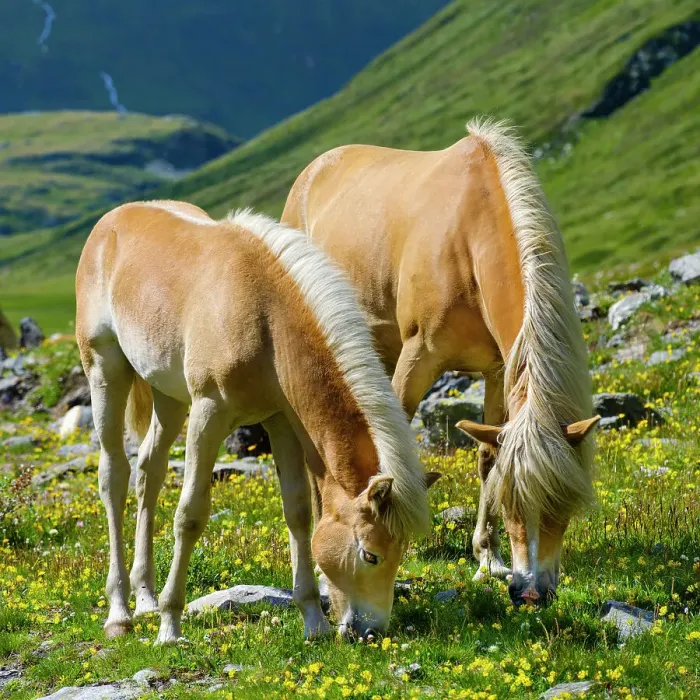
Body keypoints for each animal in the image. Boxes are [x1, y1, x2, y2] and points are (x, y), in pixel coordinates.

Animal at [75, 200, 440, 643]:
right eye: (370, 555)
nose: (370, 632)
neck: (264, 314)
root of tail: (111, 221)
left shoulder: (281, 421)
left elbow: (298, 512)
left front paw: (313, 621)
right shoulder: (209, 414)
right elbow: (190, 515)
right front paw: (170, 626)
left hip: (169, 396)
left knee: (150, 470)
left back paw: (144, 598)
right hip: (105, 371)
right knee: (114, 476)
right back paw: (121, 612)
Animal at [282, 119, 599, 606]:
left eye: (562, 505)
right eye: (513, 502)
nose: (530, 592)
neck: (468, 241)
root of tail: (312, 169)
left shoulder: (497, 371)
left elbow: (487, 456)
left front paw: (487, 558)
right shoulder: (418, 358)